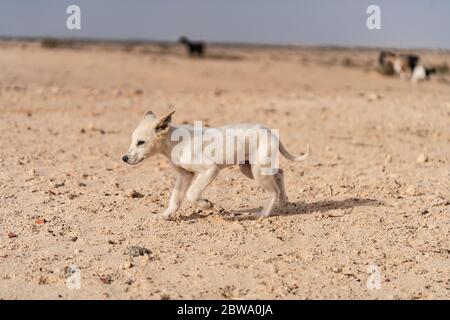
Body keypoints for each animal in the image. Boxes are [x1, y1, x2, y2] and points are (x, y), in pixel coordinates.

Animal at [121, 110, 308, 220]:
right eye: (132, 141)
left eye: (140, 142)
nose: (124, 158)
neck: (174, 142)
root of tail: (269, 131)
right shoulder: (184, 175)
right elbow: (175, 198)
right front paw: (165, 215)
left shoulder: (210, 170)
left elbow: (191, 194)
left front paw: (207, 205)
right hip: (249, 168)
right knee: (280, 173)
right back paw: (284, 201)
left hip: (257, 171)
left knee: (273, 190)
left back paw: (263, 213)